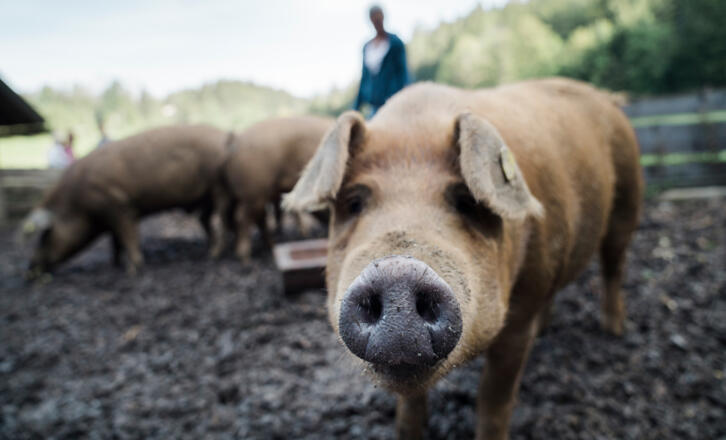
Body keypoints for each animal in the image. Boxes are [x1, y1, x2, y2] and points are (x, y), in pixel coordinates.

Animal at [23, 125, 231, 276]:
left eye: (46, 235)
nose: (30, 267)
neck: (76, 203)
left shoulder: (119, 206)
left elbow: (128, 238)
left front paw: (132, 270)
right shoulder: (111, 217)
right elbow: (116, 242)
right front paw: (114, 265)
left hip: (217, 189)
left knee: (220, 221)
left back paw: (214, 255)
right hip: (207, 198)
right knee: (204, 220)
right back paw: (209, 250)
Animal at [223, 116, 334, 262]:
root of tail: (236, 139)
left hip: (255, 194)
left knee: (256, 217)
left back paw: (270, 247)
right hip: (254, 190)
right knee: (243, 217)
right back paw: (245, 258)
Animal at [283, 78, 643, 439]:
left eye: (466, 202)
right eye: (355, 203)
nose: (397, 274)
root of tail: (608, 99)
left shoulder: (518, 320)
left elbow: (494, 400)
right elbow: (410, 404)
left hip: (628, 198)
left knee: (614, 265)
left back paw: (614, 331)